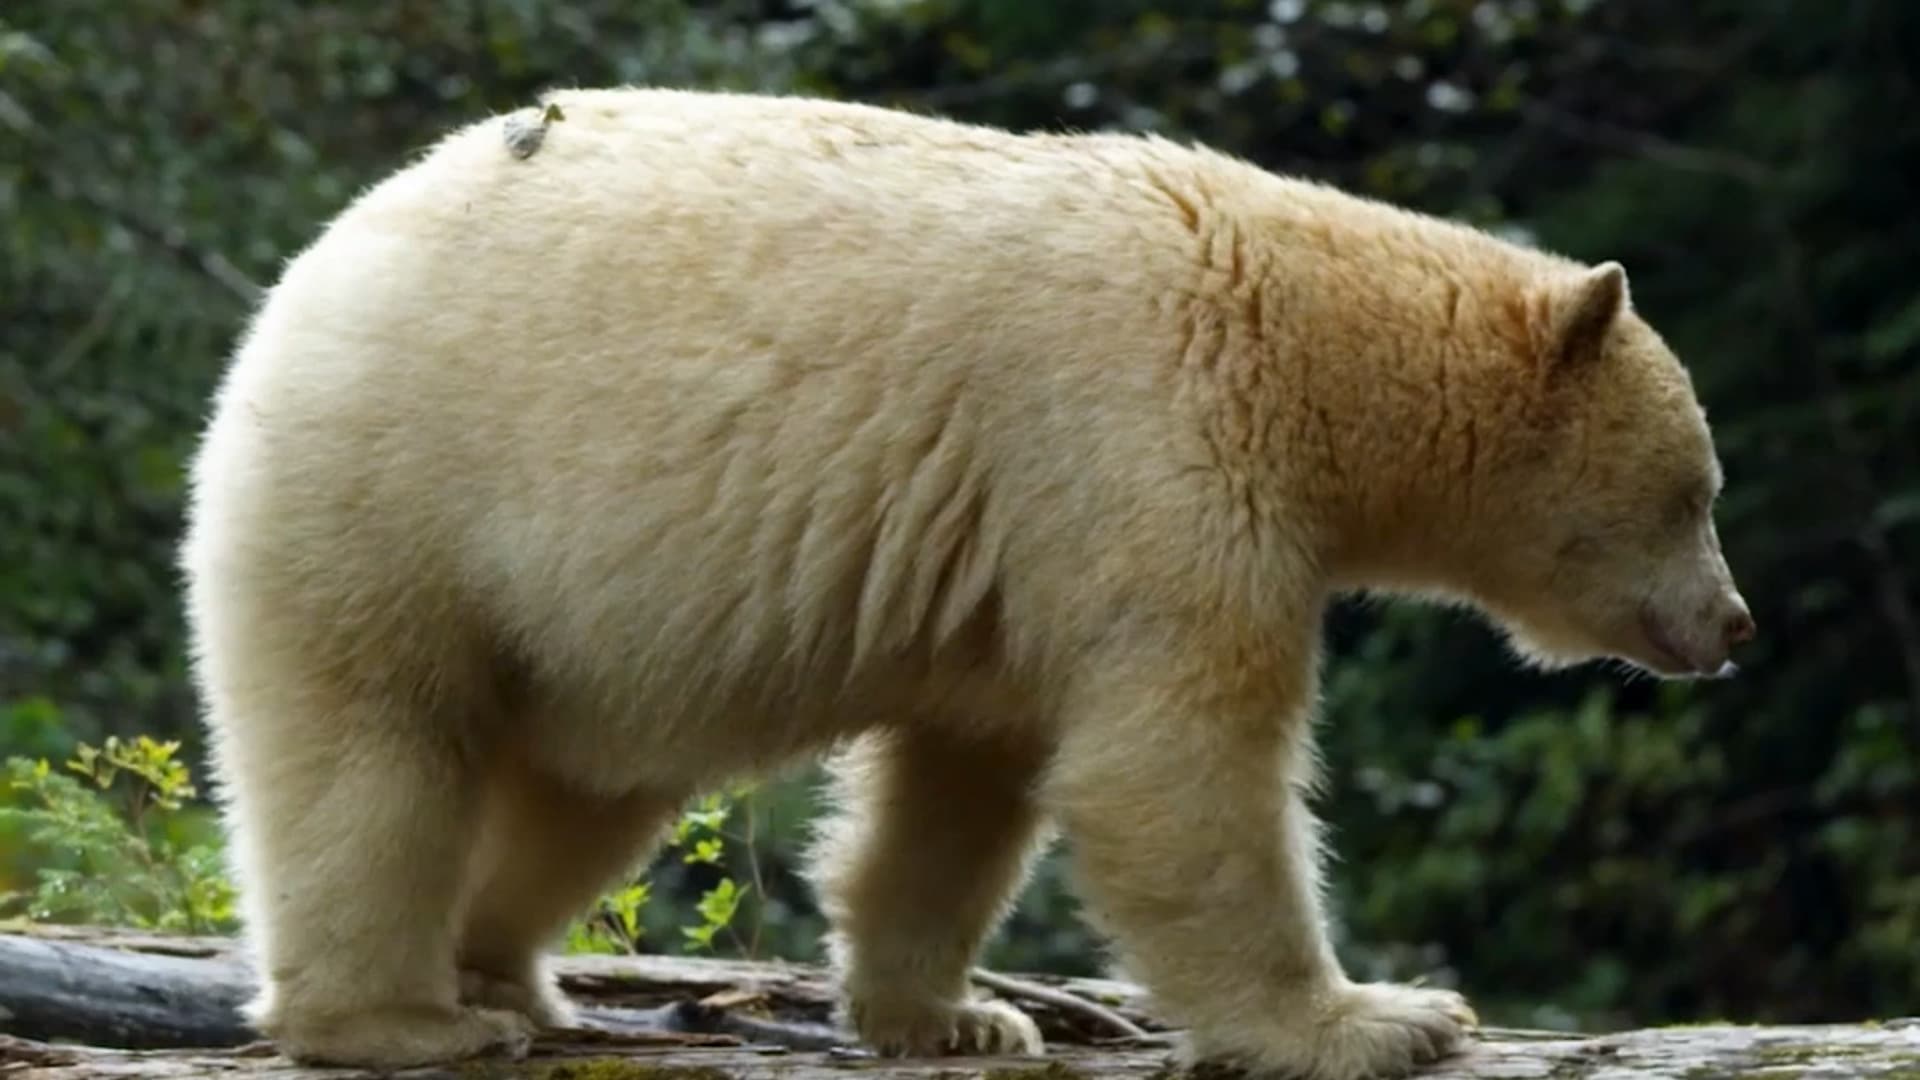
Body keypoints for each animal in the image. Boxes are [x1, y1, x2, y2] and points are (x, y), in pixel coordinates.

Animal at [179, 87, 1755, 1079]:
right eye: (1698, 492)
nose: (1732, 627)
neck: (1293, 325)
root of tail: (312, 269)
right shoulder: (1147, 441)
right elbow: (1177, 766)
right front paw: (1381, 1019)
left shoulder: (1018, 547)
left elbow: (966, 782)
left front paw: (957, 1018)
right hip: (398, 498)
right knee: (377, 755)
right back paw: (403, 1018)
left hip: (553, 621)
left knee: (577, 794)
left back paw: (507, 973)